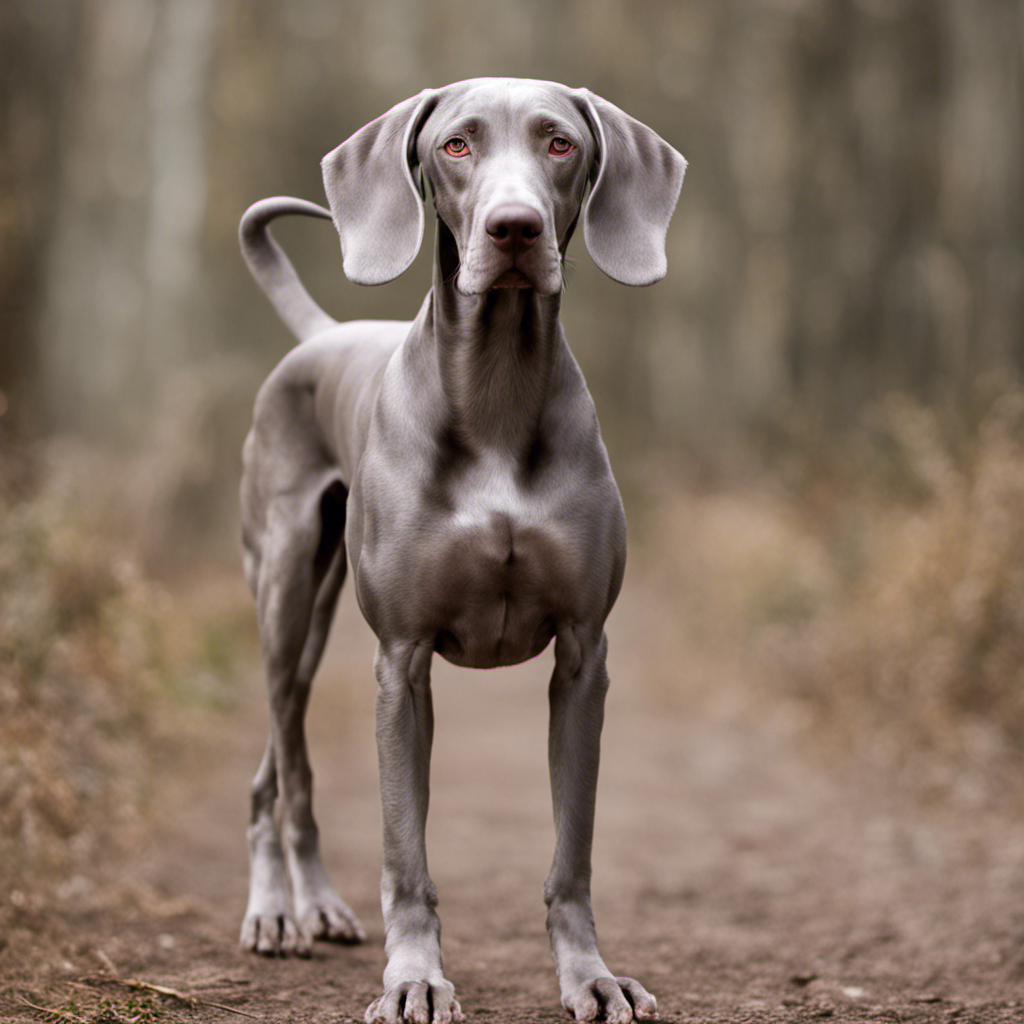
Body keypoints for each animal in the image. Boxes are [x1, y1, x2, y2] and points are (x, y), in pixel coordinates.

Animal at [238, 75, 684, 1019]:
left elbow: (572, 854)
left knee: (278, 761)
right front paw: (413, 979)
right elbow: (405, 854)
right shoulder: (402, 661)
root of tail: (319, 336)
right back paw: (282, 910)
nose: (514, 228)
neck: (496, 392)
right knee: (284, 771)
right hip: (285, 601)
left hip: (316, 615)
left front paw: (590, 976)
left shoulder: (583, 657)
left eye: (560, 143)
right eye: (456, 144)